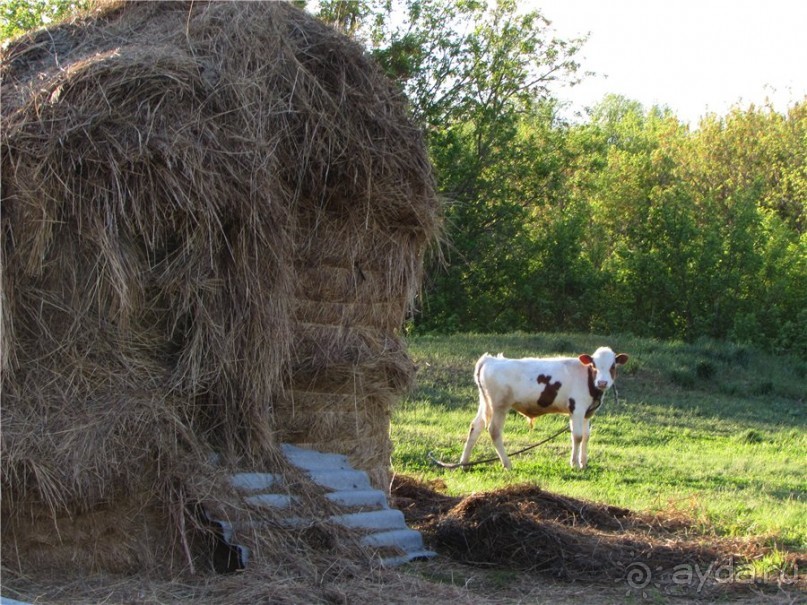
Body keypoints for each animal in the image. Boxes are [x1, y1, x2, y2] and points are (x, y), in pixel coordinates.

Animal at [460, 346, 632, 470]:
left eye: (613, 366)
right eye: (593, 365)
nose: (602, 382)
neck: (589, 381)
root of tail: (490, 360)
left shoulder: (587, 412)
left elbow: (586, 436)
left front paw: (584, 462)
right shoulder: (577, 409)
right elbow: (577, 436)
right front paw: (575, 464)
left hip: (485, 403)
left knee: (476, 426)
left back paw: (464, 463)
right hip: (499, 406)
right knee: (494, 431)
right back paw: (507, 464)